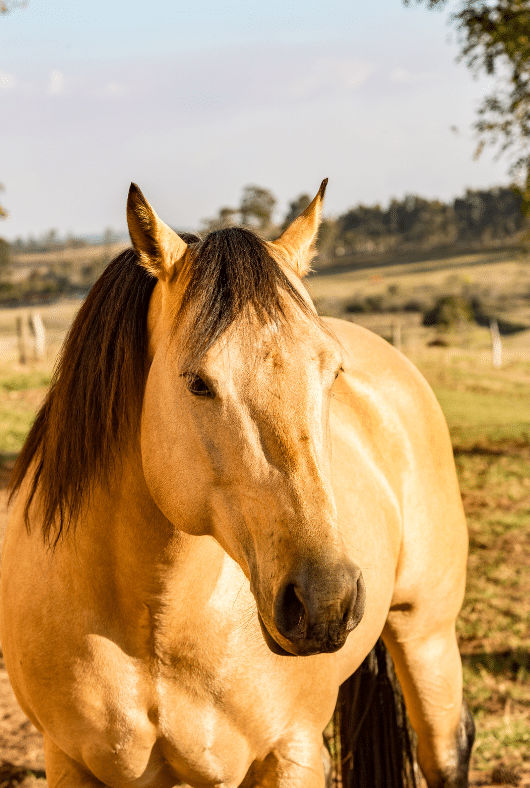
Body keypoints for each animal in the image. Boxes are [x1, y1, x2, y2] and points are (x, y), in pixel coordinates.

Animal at [0, 179, 470, 788]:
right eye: (198, 383)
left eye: (332, 372)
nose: (325, 600)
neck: (153, 627)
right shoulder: (68, 759)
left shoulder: (291, 750)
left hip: (426, 633)